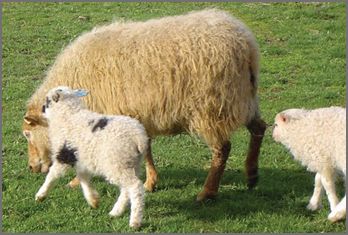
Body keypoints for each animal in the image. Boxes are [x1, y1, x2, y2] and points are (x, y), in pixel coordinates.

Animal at [21, 8, 266, 200]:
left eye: (27, 134)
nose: (31, 167)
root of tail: (246, 44)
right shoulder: (137, 116)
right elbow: (146, 149)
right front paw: (150, 182)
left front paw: (75, 182)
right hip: (243, 98)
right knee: (259, 128)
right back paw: (252, 175)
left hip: (212, 106)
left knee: (222, 149)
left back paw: (208, 192)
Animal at [35, 86, 148, 228]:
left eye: (47, 101)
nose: (41, 109)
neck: (68, 115)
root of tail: (139, 138)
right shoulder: (81, 159)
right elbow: (83, 178)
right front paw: (93, 200)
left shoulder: (64, 156)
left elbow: (52, 175)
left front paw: (41, 195)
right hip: (131, 163)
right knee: (126, 189)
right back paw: (116, 212)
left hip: (117, 162)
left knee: (135, 187)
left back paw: (135, 221)